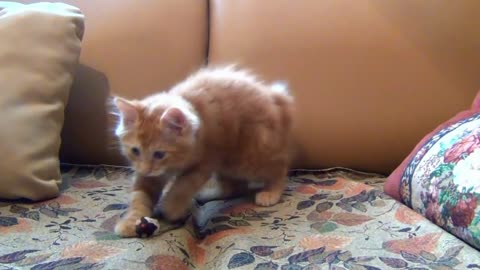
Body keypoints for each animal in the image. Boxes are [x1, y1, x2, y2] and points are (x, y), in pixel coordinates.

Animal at [113, 66, 292, 237]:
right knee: (236, 187)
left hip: (248, 157)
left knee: (278, 169)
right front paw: (130, 223)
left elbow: (183, 186)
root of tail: (274, 97)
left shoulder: (205, 161)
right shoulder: (149, 177)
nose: (145, 169)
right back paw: (207, 195)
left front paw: (172, 208)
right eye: (135, 150)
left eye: (159, 154)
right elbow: (139, 198)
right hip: (229, 164)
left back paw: (271, 192)